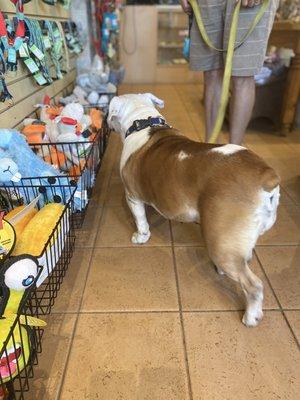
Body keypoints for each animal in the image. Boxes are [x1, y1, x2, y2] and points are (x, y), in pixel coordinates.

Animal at [108, 94, 282, 328]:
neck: (144, 121)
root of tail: (265, 176)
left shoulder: (132, 197)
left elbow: (141, 220)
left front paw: (140, 236)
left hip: (222, 244)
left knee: (253, 285)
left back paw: (250, 316)